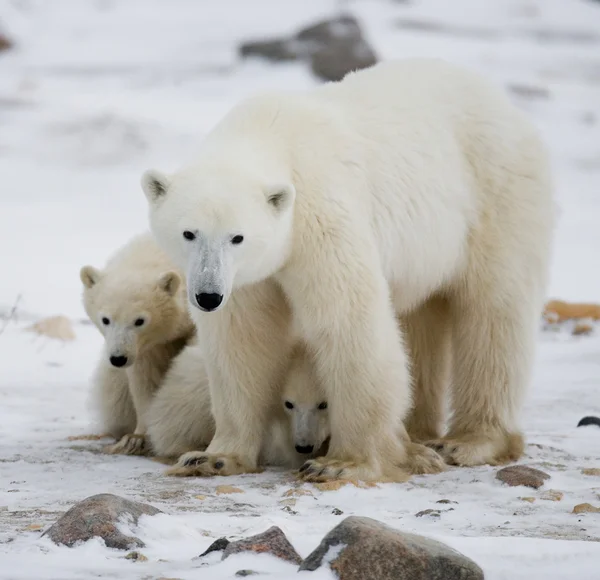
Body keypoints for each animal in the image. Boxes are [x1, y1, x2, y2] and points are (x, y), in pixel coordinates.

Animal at [81, 231, 195, 454]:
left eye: (139, 320)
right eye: (106, 319)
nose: (118, 358)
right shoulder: (146, 347)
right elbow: (145, 379)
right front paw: (138, 437)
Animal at [141, 56, 552, 482]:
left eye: (237, 237)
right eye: (189, 233)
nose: (207, 296)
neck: (270, 134)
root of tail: (505, 104)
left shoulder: (319, 216)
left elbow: (348, 321)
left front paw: (341, 463)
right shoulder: (245, 278)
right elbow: (241, 339)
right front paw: (213, 456)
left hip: (498, 196)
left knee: (494, 314)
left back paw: (468, 441)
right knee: (421, 318)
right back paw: (418, 436)